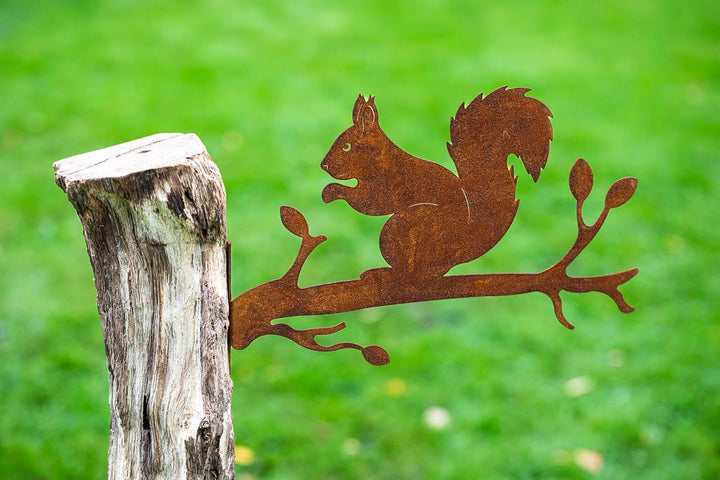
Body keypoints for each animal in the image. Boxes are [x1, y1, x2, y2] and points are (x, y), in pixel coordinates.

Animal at [320, 86, 553, 280]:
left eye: (347, 146)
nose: (323, 165)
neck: (381, 159)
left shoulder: (389, 185)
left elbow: (369, 202)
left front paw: (331, 191)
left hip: (404, 229)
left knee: (414, 273)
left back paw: (388, 273)